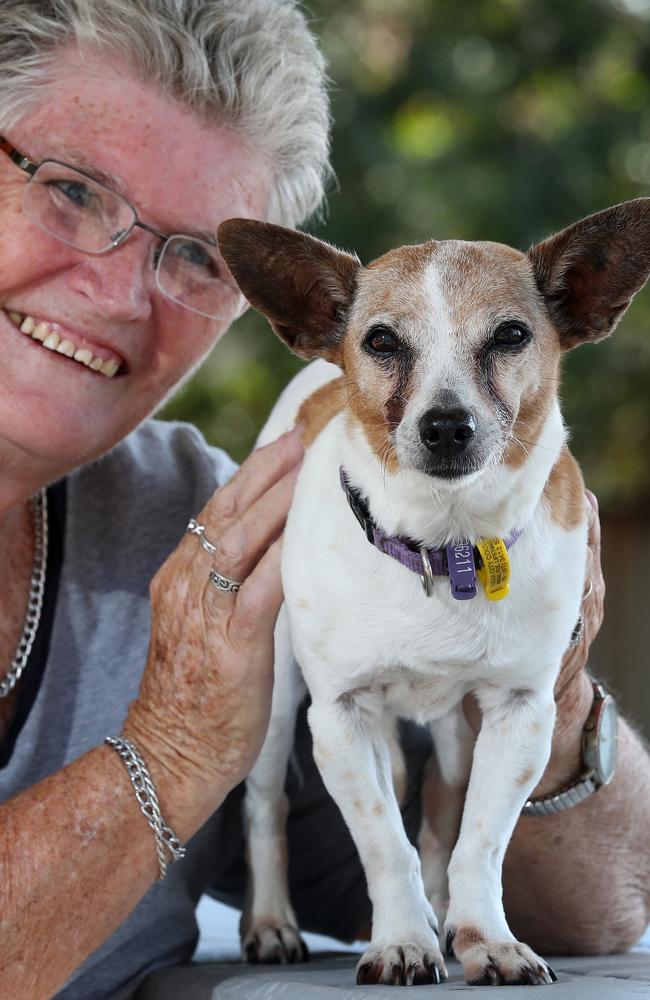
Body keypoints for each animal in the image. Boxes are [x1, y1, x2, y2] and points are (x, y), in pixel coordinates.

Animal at [218, 199, 648, 988]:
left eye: (511, 335)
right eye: (382, 341)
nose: (447, 424)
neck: (444, 547)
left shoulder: (520, 714)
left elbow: (479, 841)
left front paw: (487, 940)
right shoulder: (340, 719)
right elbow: (386, 845)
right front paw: (400, 942)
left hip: (453, 736)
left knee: (442, 818)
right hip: (274, 702)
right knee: (266, 807)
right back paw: (270, 923)